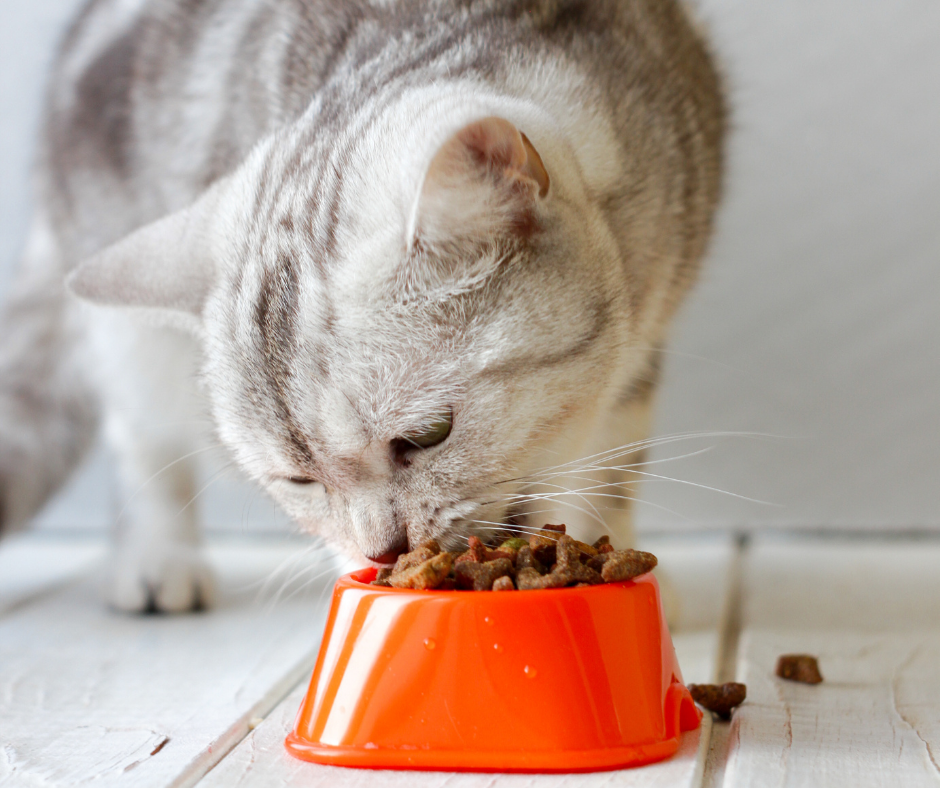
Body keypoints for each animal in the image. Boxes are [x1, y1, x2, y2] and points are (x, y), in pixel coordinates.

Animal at [0, 0, 724, 608]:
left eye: (427, 435)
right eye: (297, 482)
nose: (383, 552)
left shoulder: (640, 348)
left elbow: (604, 473)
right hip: (130, 334)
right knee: (138, 436)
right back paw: (157, 562)